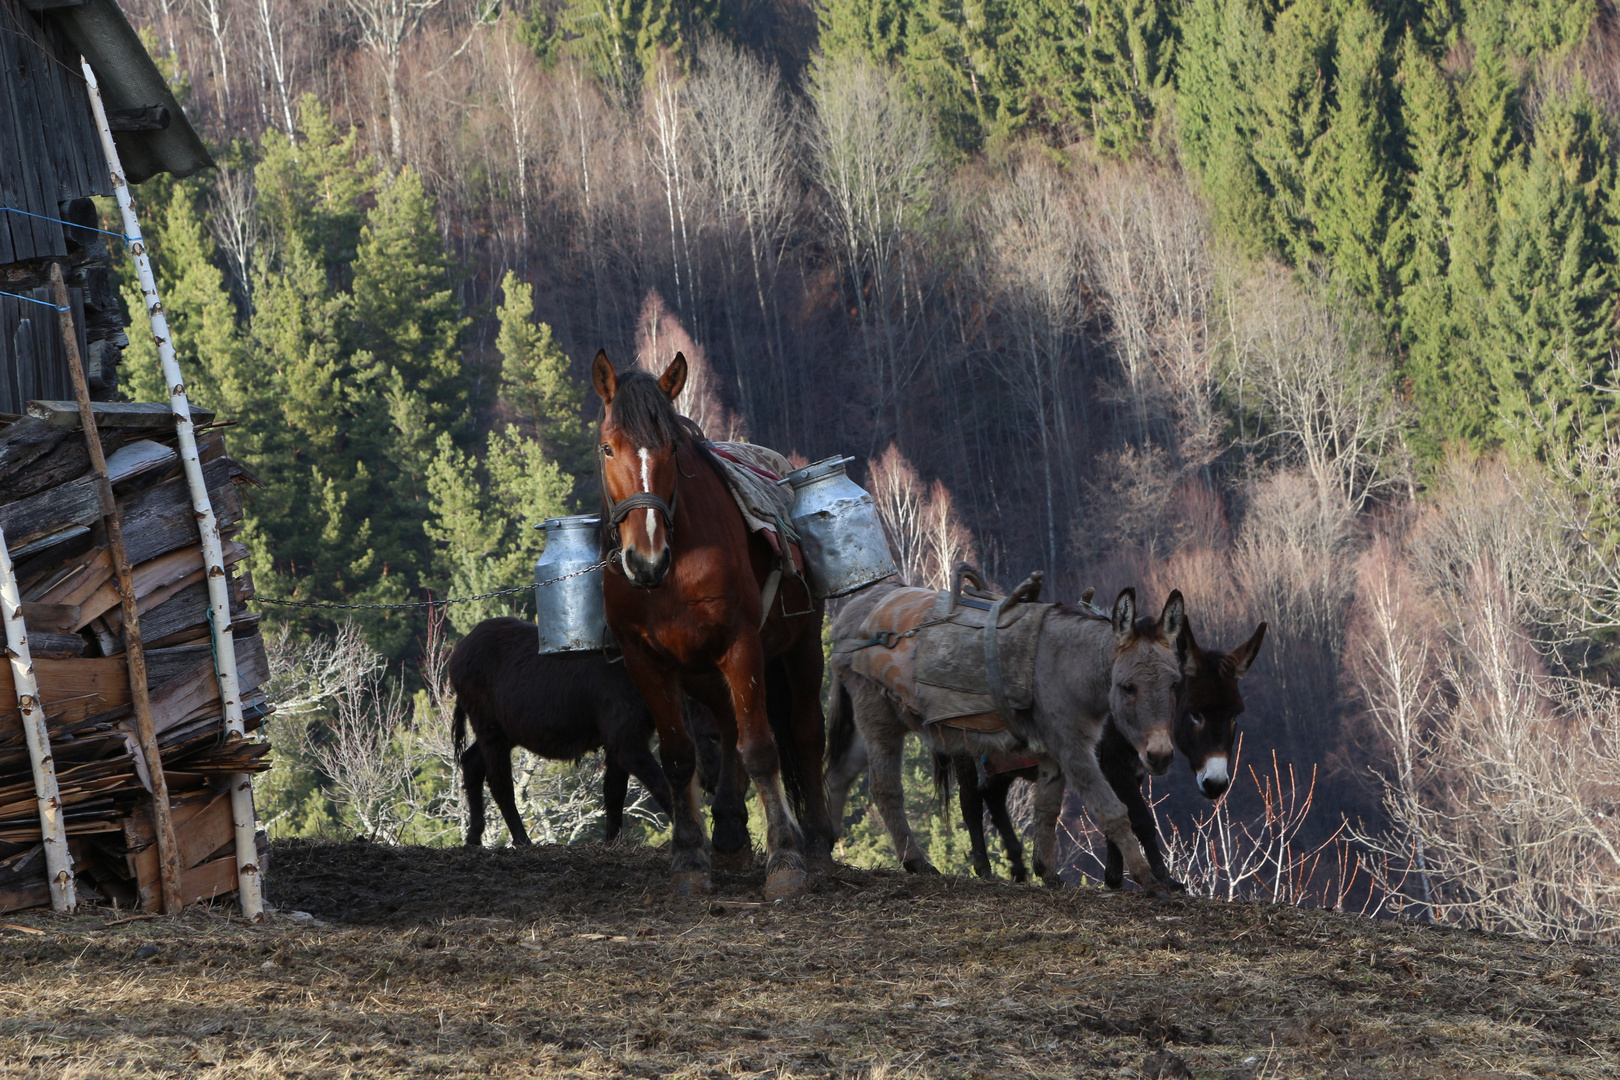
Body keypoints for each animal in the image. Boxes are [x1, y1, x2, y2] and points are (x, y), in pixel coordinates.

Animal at [592, 351, 829, 900]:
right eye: (607, 447)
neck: (674, 568)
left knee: (805, 730)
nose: (645, 558)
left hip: (802, 647)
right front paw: (688, 856)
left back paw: (817, 840)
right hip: (699, 669)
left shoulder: (741, 644)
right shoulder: (647, 661)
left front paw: (785, 857)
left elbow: (761, 747)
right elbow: (681, 756)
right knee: (725, 720)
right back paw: (728, 829)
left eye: (672, 446)